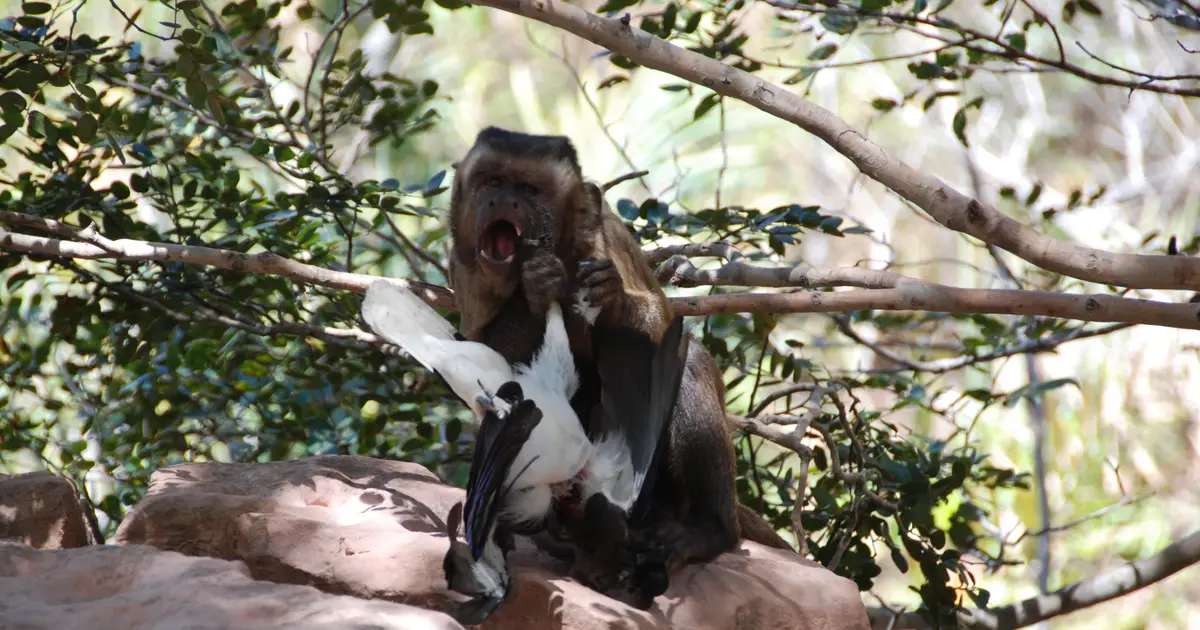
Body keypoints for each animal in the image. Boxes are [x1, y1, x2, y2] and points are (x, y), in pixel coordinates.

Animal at [446, 126, 793, 602]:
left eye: (529, 190)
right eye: (492, 182)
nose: (502, 201)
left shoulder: (604, 236)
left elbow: (660, 328)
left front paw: (609, 296)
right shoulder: (463, 265)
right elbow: (480, 359)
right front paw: (538, 285)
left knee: (686, 361)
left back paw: (710, 529)